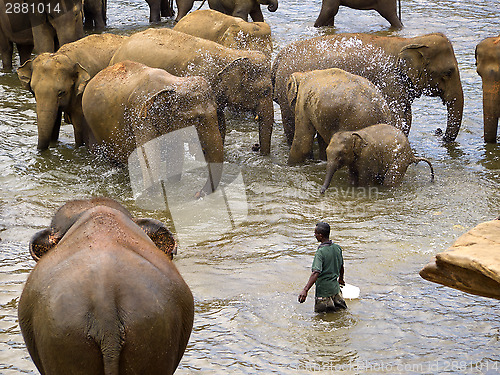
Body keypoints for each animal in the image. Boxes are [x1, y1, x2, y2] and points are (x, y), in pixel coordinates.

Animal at [83, 59, 224, 197]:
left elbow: (175, 154)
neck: (173, 82)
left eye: (216, 111)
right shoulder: (140, 116)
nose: (197, 193)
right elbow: (149, 157)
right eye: (194, 119)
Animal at [274, 33, 464, 146]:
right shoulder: (389, 80)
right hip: (287, 92)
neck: (410, 41)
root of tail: (279, 57)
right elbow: (397, 117)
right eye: (448, 72)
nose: (439, 133)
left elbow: (407, 117)